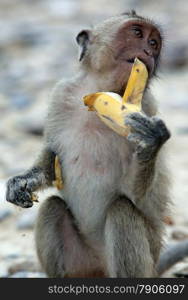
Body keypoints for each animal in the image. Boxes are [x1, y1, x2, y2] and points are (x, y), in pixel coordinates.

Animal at [5, 11, 177, 278]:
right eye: (137, 33)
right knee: (52, 207)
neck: (97, 95)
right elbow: (52, 155)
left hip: (147, 257)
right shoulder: (61, 94)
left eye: (153, 43)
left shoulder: (146, 107)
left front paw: (151, 140)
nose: (148, 52)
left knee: (121, 210)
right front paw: (22, 181)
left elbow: (136, 197)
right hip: (82, 262)